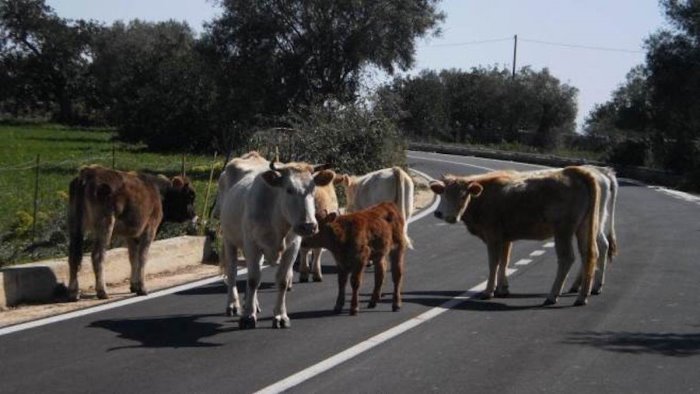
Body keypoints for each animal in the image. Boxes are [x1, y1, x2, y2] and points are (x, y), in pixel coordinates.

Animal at [67, 165, 197, 300]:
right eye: (190, 196)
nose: (193, 214)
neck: (158, 192)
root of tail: (87, 173)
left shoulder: (131, 234)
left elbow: (133, 257)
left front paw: (134, 285)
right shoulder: (150, 228)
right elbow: (143, 257)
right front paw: (142, 287)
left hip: (75, 223)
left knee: (74, 255)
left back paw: (73, 292)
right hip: (105, 224)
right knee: (98, 255)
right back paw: (102, 291)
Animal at [221, 155, 336, 328]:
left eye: (313, 189)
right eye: (289, 189)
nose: (309, 225)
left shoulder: (293, 246)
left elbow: (282, 280)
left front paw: (280, 316)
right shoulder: (252, 245)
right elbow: (253, 279)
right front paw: (248, 316)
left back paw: (253, 304)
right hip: (229, 240)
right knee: (232, 271)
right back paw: (233, 305)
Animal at [426, 166, 600, 308]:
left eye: (463, 196)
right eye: (443, 194)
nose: (443, 214)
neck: (483, 197)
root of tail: (574, 172)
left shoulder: (493, 236)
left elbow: (494, 263)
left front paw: (488, 291)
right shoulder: (505, 238)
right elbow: (505, 261)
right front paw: (502, 289)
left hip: (563, 231)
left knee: (567, 258)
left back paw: (552, 296)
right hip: (583, 228)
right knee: (589, 254)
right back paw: (582, 297)